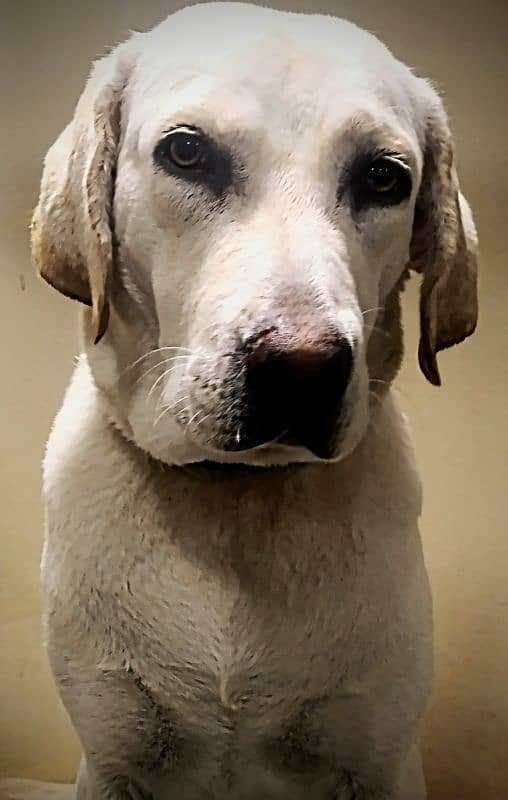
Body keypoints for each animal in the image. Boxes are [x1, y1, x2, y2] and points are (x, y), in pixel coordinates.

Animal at [0, 3, 478, 796]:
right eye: (187, 153)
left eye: (384, 176)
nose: (303, 368)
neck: (238, 500)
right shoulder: (113, 759)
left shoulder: (379, 759)